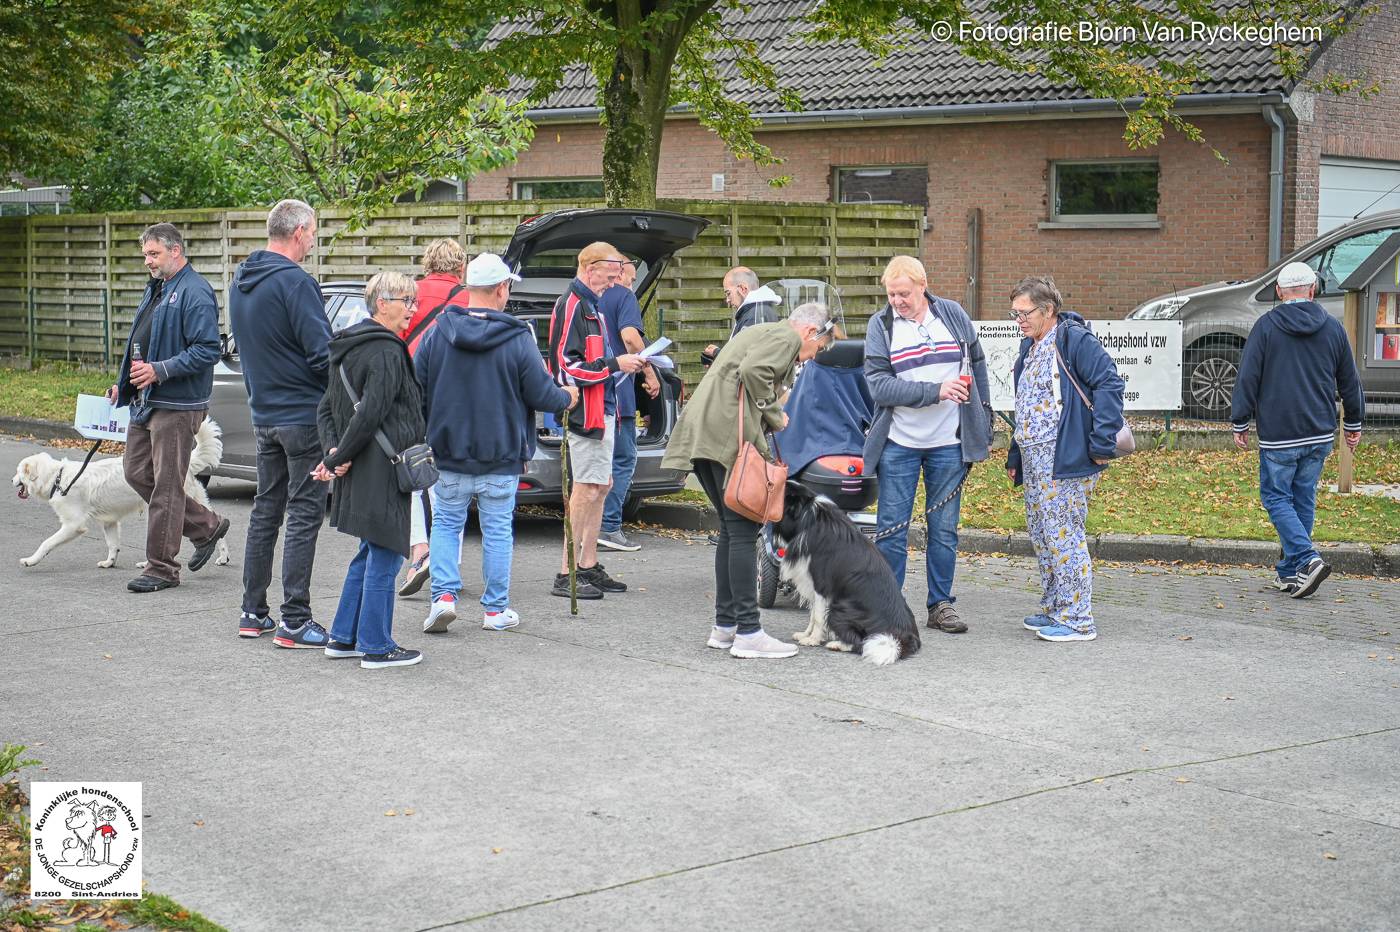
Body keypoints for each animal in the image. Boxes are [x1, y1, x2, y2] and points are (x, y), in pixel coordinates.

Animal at [11, 414, 229, 565]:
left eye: (18, 471)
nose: (11, 480)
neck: (58, 477)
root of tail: (187, 464)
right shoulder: (109, 522)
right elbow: (113, 544)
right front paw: (110, 562)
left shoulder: (73, 525)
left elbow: (47, 543)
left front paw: (31, 560)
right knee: (216, 526)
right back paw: (222, 555)